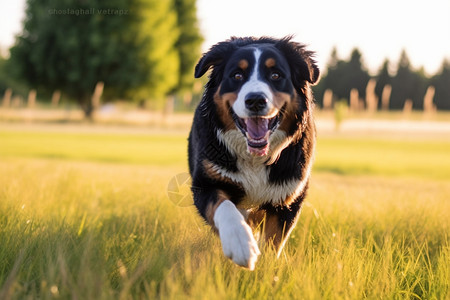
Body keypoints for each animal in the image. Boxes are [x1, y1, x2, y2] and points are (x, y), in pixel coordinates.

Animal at [188, 35, 318, 270]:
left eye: (276, 75)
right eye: (237, 75)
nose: (256, 100)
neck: (254, 158)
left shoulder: (289, 196)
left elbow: (274, 241)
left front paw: (269, 267)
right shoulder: (206, 182)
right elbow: (224, 206)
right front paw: (240, 242)